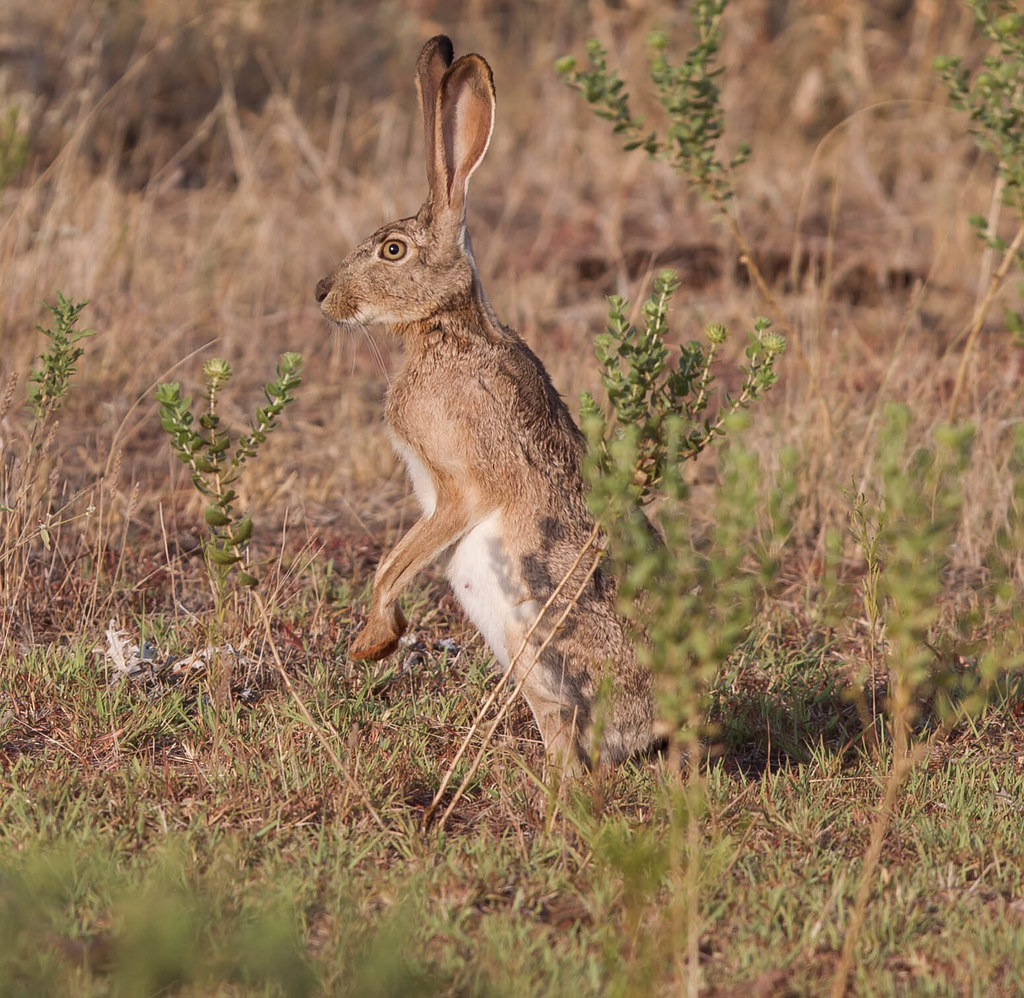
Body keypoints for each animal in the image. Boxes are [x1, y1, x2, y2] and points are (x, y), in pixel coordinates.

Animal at [315, 35, 654, 771]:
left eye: (392, 249)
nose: (322, 293)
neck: (447, 328)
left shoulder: (460, 485)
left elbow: (397, 561)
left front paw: (373, 641)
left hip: (535, 642)